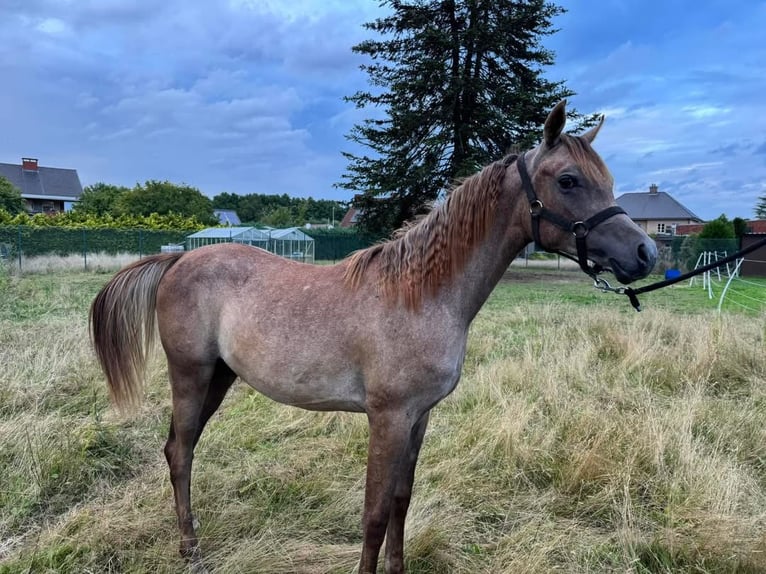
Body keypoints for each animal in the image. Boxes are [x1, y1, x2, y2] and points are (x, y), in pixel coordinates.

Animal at [90, 101, 657, 573]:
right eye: (568, 180)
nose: (646, 253)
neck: (421, 293)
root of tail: (179, 260)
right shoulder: (387, 418)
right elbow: (375, 515)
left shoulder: (419, 417)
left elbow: (401, 503)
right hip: (191, 375)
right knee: (181, 452)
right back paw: (191, 551)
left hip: (220, 378)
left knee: (177, 449)